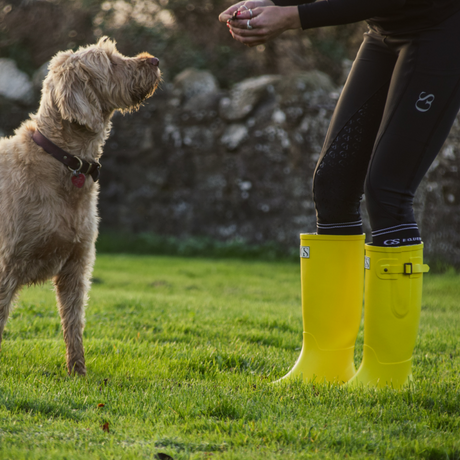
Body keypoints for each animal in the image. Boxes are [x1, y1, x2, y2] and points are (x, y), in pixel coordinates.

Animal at [0, 36, 162, 374]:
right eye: (110, 61)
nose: (154, 59)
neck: (64, 160)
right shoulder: (5, 266)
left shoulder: (76, 265)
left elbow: (73, 323)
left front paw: (78, 371)